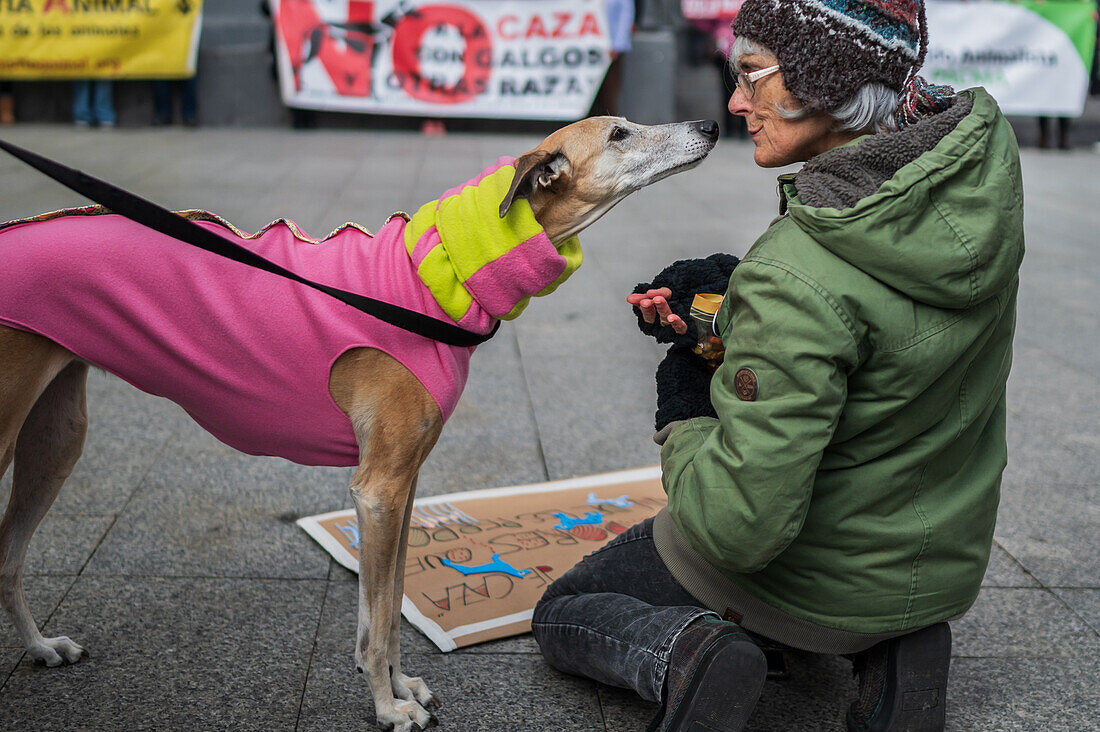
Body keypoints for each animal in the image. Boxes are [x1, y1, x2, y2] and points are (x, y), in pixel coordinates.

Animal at [0, 115, 717, 730]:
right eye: (619, 133)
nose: (711, 125)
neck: (435, 279)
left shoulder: (402, 489)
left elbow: (389, 613)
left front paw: (402, 689)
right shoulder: (377, 490)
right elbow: (376, 623)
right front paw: (388, 708)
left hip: (57, 435)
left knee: (8, 555)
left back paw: (41, 648)